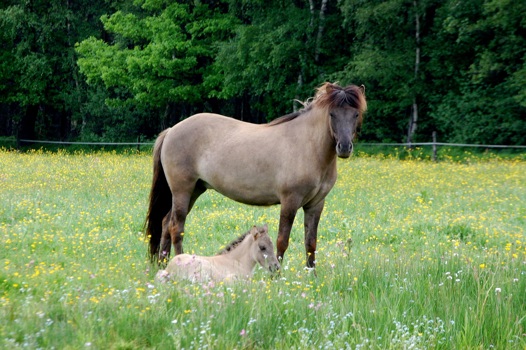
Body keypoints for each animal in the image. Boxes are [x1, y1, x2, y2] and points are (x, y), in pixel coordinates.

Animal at [144, 82, 368, 268]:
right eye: (332, 114)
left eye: (356, 114)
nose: (344, 147)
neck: (308, 145)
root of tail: (171, 130)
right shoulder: (290, 201)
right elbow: (282, 241)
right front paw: (277, 276)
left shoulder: (315, 204)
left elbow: (310, 243)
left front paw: (311, 277)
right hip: (183, 190)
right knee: (176, 227)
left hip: (195, 190)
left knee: (165, 224)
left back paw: (162, 264)